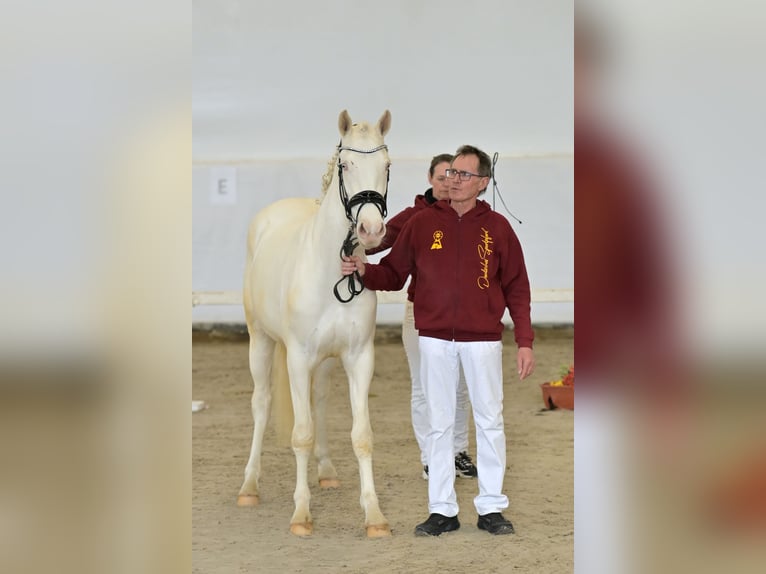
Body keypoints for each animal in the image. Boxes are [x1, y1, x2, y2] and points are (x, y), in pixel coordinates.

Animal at [236, 110, 392, 538]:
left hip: (322, 362)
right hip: (261, 342)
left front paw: (374, 516)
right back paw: (249, 486)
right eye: (346, 164)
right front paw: (301, 515)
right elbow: (300, 435)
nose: (371, 231)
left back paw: (325, 471)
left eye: (387, 166)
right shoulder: (297, 357)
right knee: (261, 403)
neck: (330, 271)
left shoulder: (359, 358)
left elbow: (363, 436)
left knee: (318, 400)